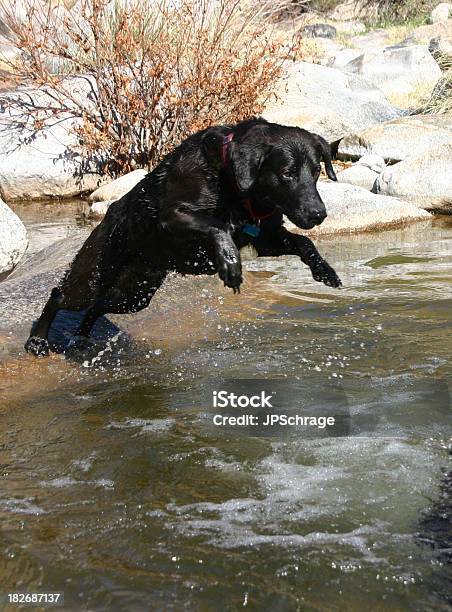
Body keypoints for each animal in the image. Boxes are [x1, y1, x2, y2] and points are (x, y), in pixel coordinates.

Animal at [24, 117, 340, 356]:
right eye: (287, 173)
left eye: (316, 172)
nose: (318, 214)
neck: (232, 180)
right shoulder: (173, 217)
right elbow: (218, 227)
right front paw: (230, 263)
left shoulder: (264, 238)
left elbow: (303, 242)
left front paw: (325, 270)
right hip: (94, 276)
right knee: (61, 295)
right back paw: (37, 341)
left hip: (134, 294)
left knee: (98, 307)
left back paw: (82, 337)